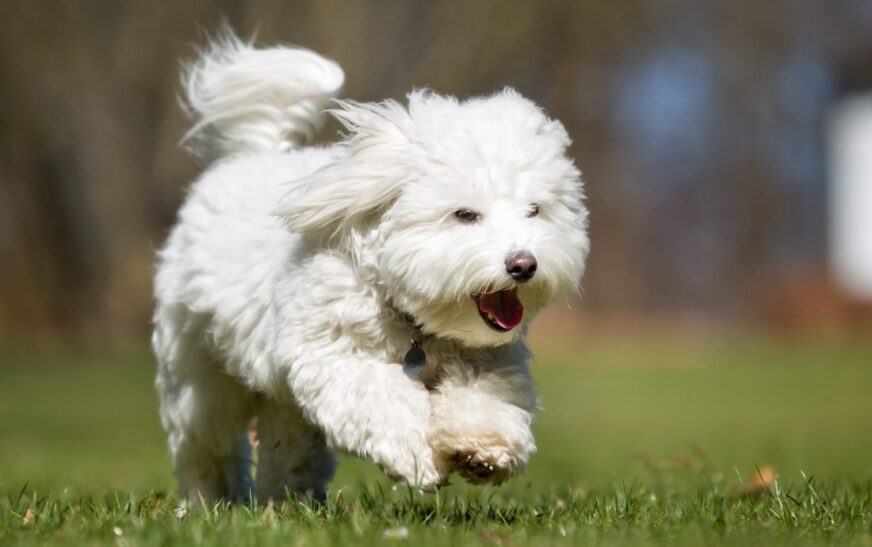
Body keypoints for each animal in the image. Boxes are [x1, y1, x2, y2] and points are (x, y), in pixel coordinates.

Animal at [155, 33, 592, 506]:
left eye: (534, 210)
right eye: (465, 214)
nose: (523, 264)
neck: (411, 318)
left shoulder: (487, 359)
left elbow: (485, 398)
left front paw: (483, 446)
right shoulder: (333, 355)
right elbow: (384, 400)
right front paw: (419, 456)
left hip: (281, 400)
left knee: (286, 442)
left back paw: (289, 500)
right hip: (198, 375)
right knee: (205, 444)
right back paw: (208, 501)